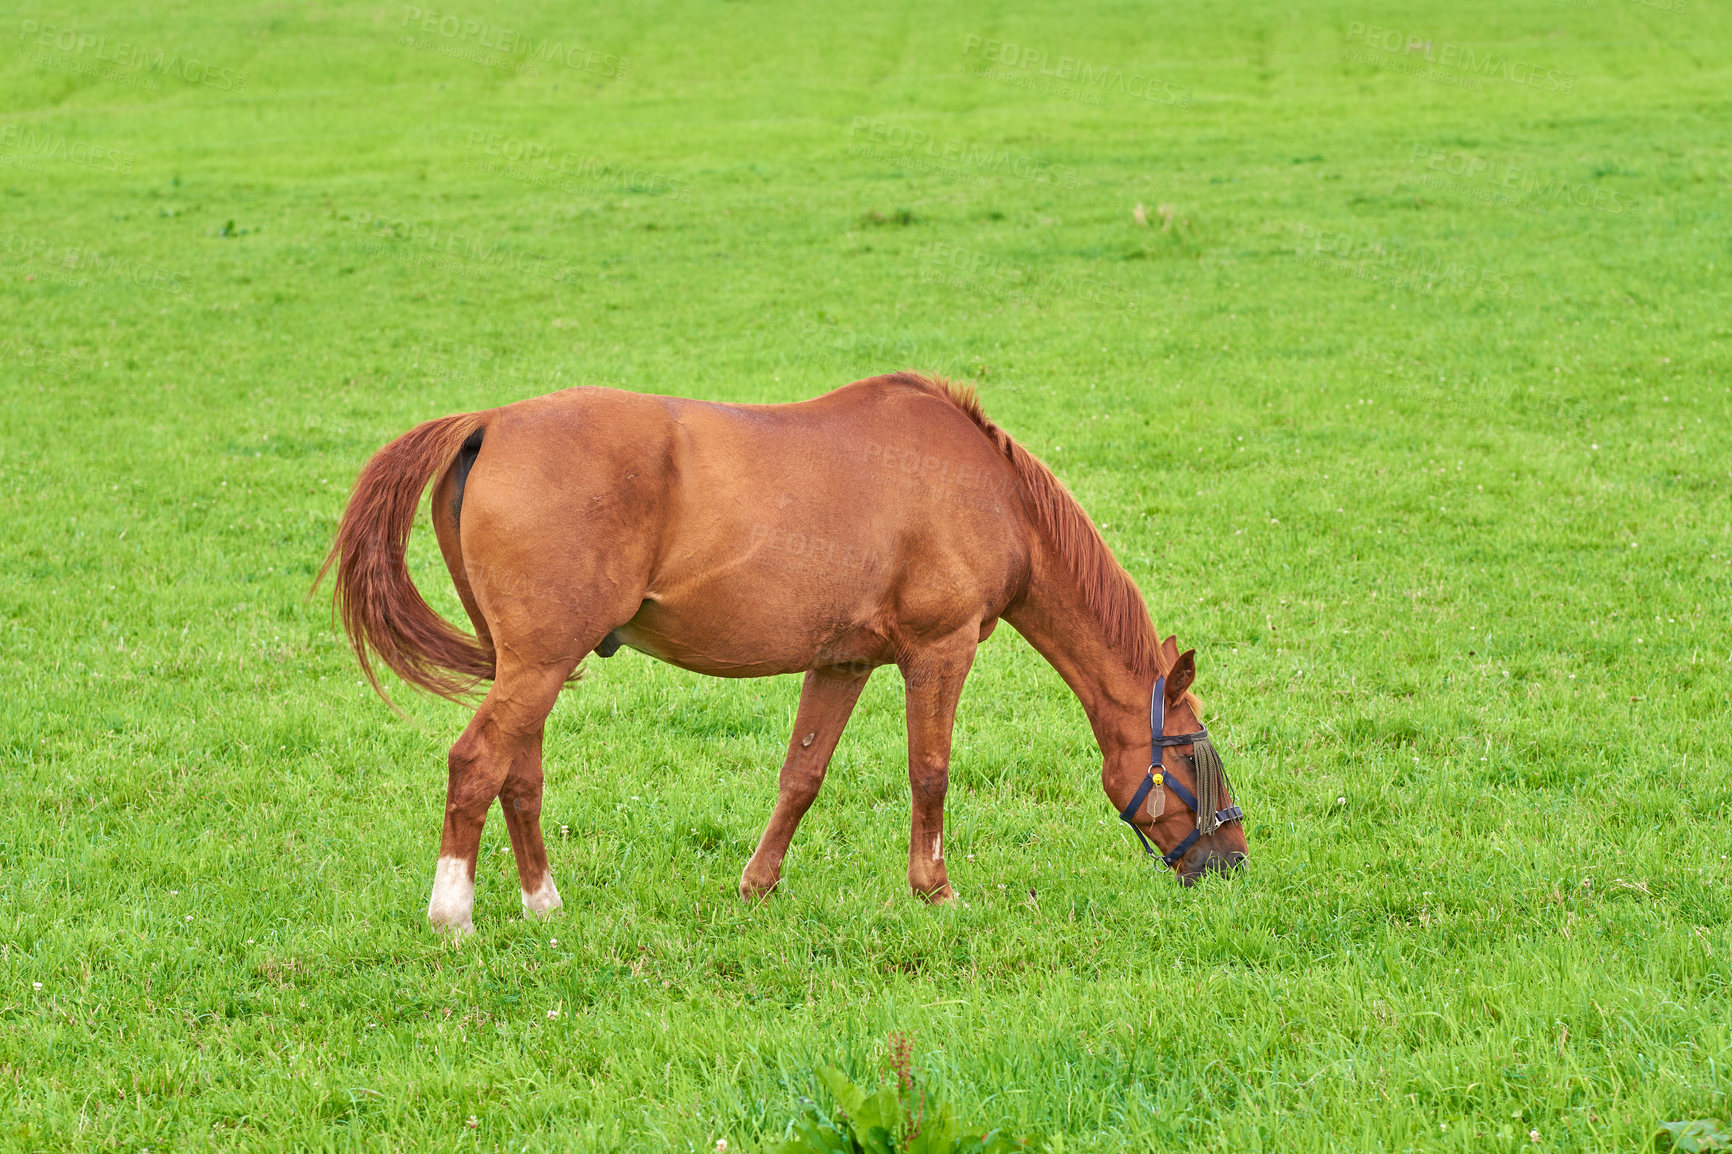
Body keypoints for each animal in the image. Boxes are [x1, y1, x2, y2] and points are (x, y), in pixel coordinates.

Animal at [322, 372, 1247, 928]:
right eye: (1192, 756)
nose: (1233, 860)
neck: (992, 494)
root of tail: (490, 423)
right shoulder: (939, 652)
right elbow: (930, 772)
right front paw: (935, 890)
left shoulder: (840, 662)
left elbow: (802, 775)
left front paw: (757, 886)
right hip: (539, 663)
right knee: (476, 761)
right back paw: (454, 914)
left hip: (530, 665)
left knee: (518, 772)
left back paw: (543, 905)